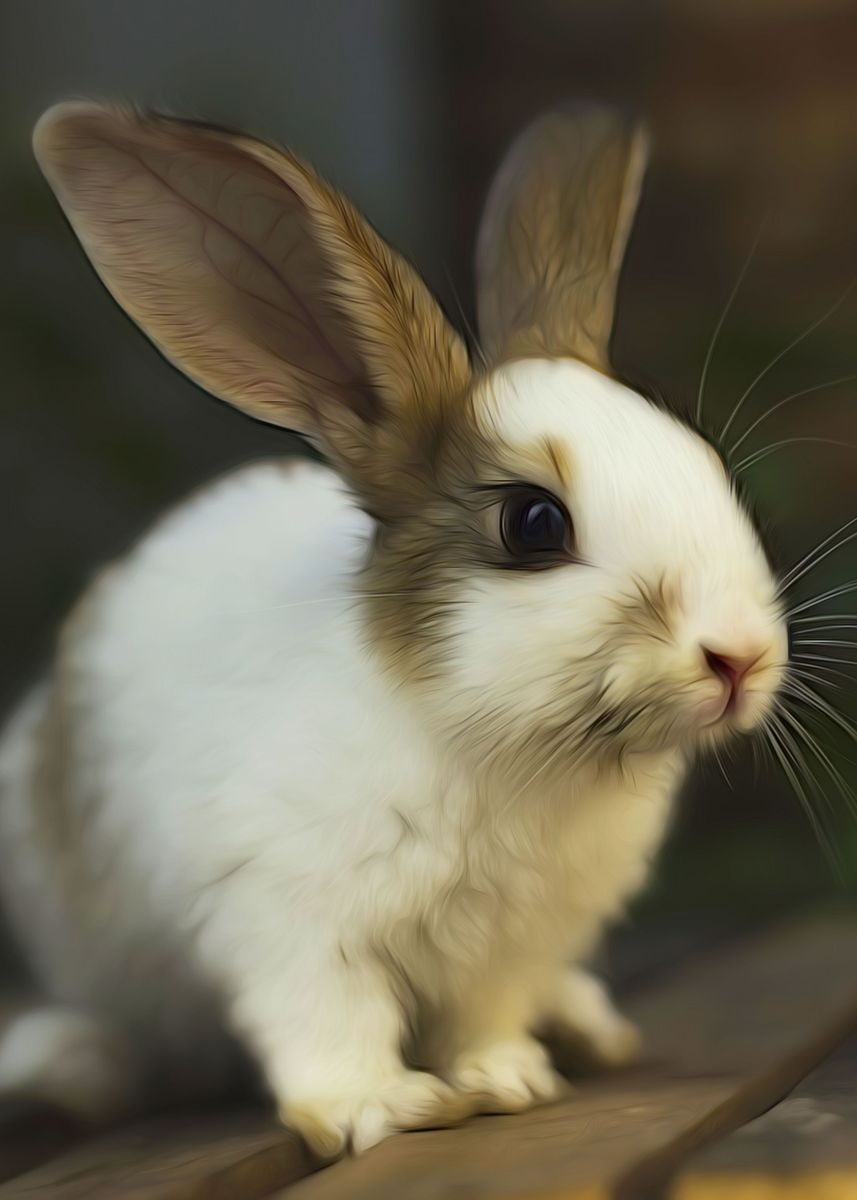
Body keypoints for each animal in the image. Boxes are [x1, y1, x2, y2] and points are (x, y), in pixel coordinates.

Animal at [0, 99, 788, 1157]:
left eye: (701, 464)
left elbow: (484, 1015)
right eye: (533, 524)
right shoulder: (285, 912)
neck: (506, 746)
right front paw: (378, 1107)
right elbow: (327, 1016)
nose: (739, 657)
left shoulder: (509, 943)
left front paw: (506, 1078)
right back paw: (71, 1067)